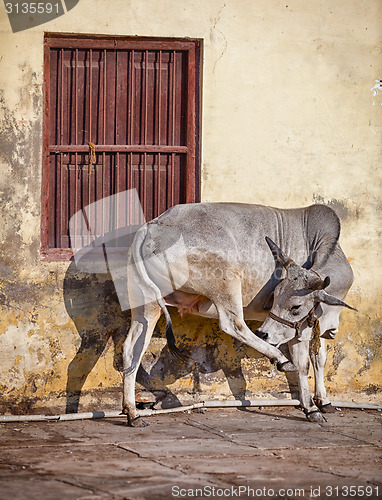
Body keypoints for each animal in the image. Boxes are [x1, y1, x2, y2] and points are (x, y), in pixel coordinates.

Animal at [122, 203, 356, 426]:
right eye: (277, 297)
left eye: (295, 306)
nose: (264, 333)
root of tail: (153, 225)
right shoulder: (299, 329)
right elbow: (302, 364)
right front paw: (311, 408)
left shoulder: (315, 325)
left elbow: (320, 359)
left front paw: (324, 401)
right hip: (227, 280)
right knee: (233, 324)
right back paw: (279, 358)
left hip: (147, 305)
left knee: (132, 349)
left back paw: (132, 412)